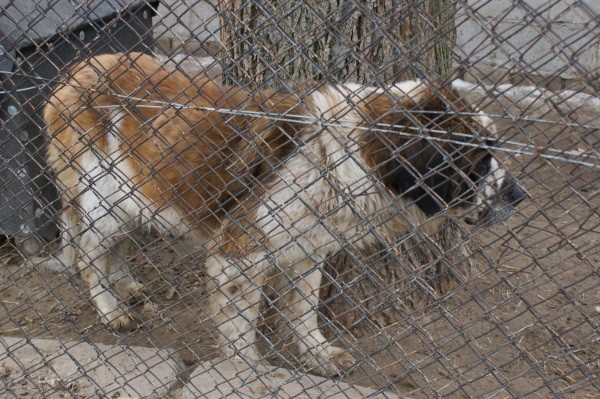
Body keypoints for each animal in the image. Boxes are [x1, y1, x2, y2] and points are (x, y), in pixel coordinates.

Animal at [34, 53, 524, 378]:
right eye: (479, 161)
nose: (520, 195)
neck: (342, 154)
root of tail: (77, 69)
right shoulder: (240, 253)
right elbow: (240, 327)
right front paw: (248, 373)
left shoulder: (307, 248)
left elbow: (305, 311)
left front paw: (318, 354)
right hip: (102, 200)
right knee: (89, 256)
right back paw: (111, 308)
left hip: (133, 196)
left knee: (111, 249)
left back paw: (127, 286)